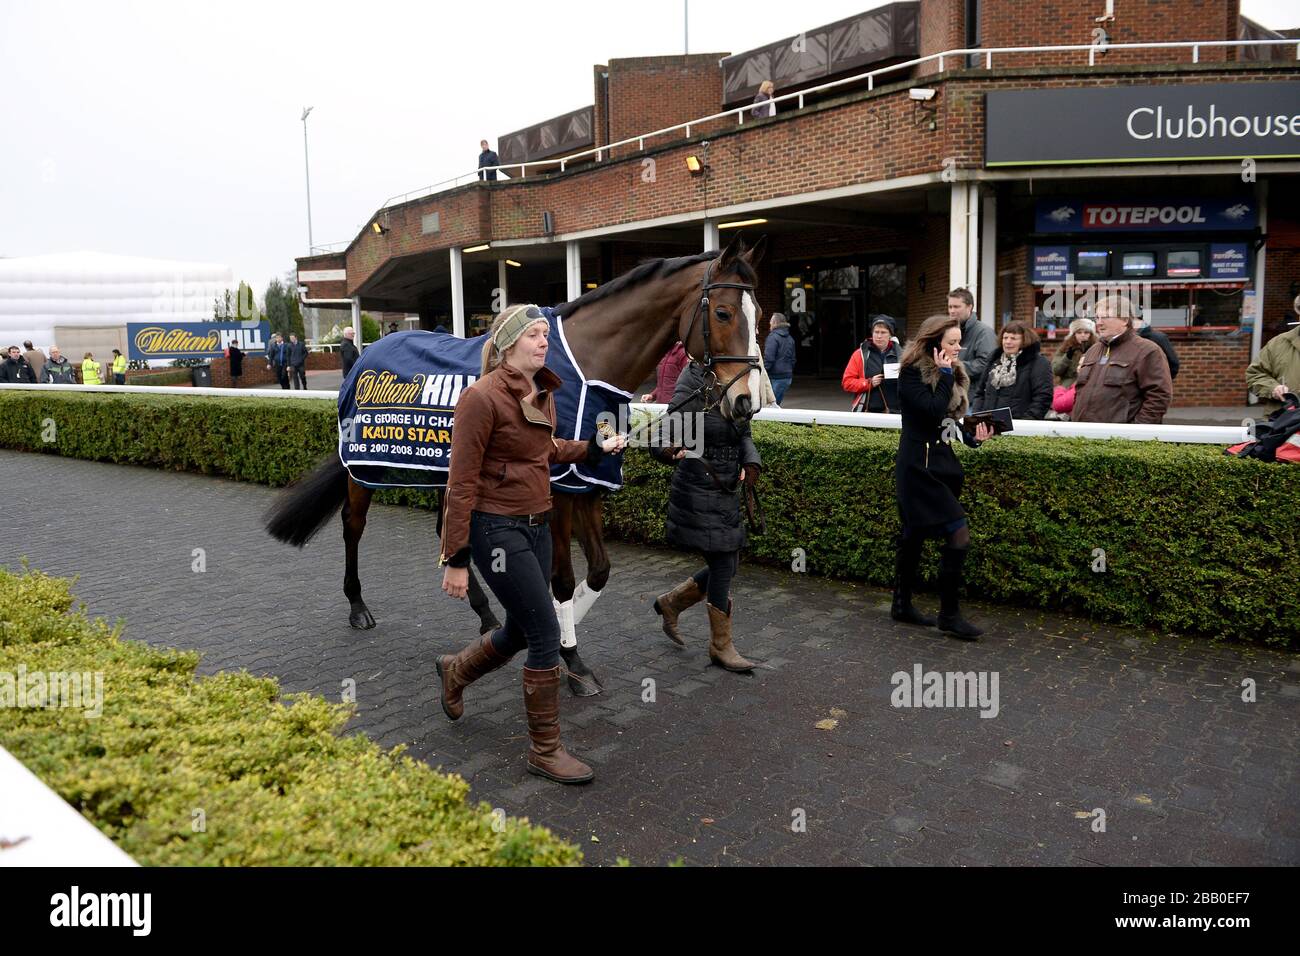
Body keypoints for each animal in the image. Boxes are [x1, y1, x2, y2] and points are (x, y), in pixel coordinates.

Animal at [267, 231, 764, 697]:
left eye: (758, 312)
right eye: (723, 313)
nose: (746, 402)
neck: (586, 366)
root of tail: (367, 354)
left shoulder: (588, 479)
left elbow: (599, 571)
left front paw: (558, 631)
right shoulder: (559, 487)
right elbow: (561, 580)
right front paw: (572, 659)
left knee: (447, 528)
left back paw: (485, 612)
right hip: (363, 467)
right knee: (353, 526)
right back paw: (358, 606)